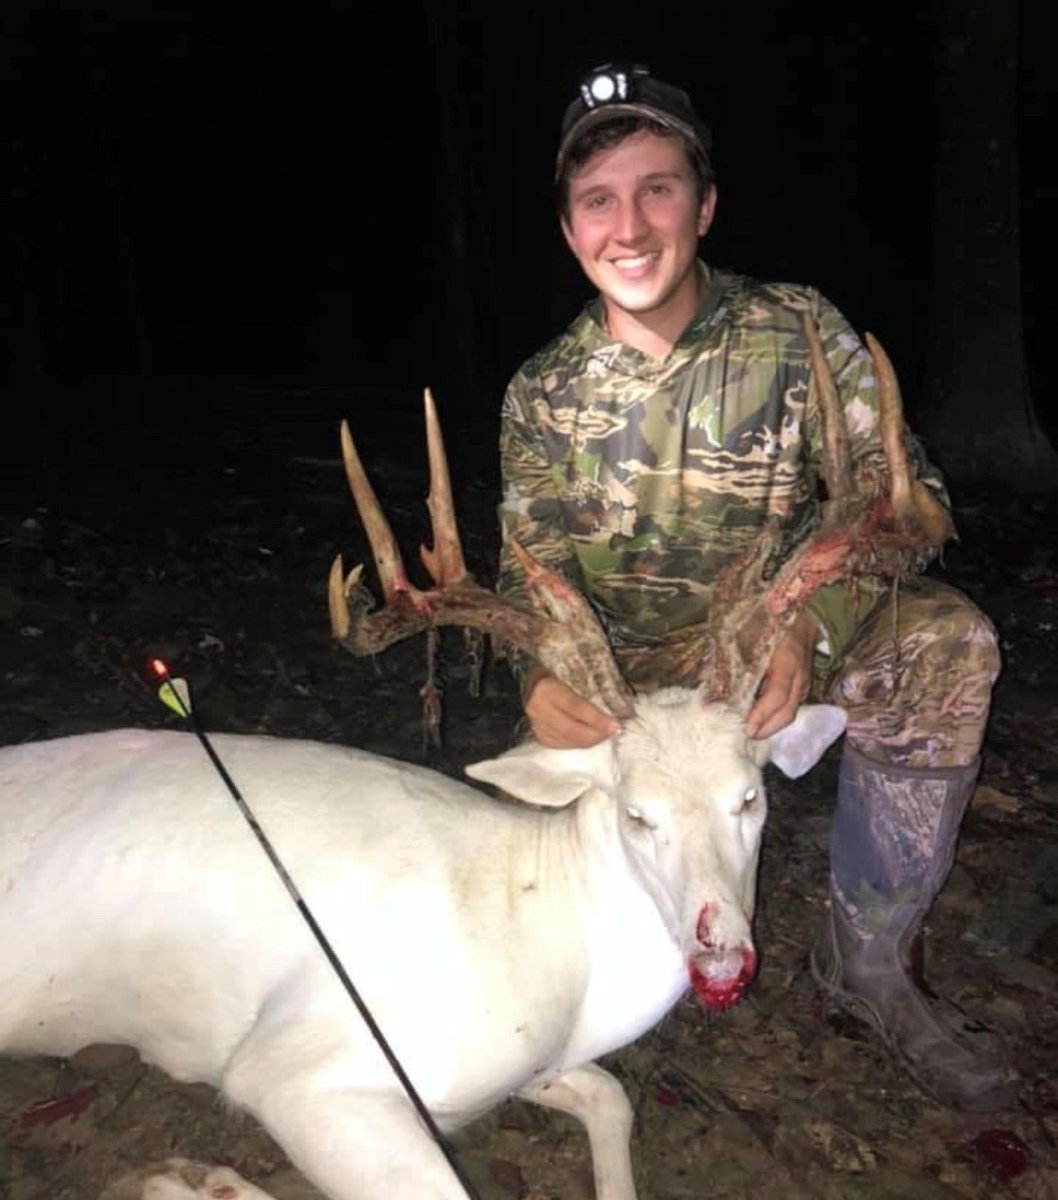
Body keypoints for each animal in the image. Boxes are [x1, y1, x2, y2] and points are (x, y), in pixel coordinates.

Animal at [0, 315, 951, 1200]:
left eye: (749, 798)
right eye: (635, 814)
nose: (723, 957)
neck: (549, 945)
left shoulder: (515, 1074)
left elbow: (614, 1099)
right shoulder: (299, 1067)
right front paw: (180, 1176)